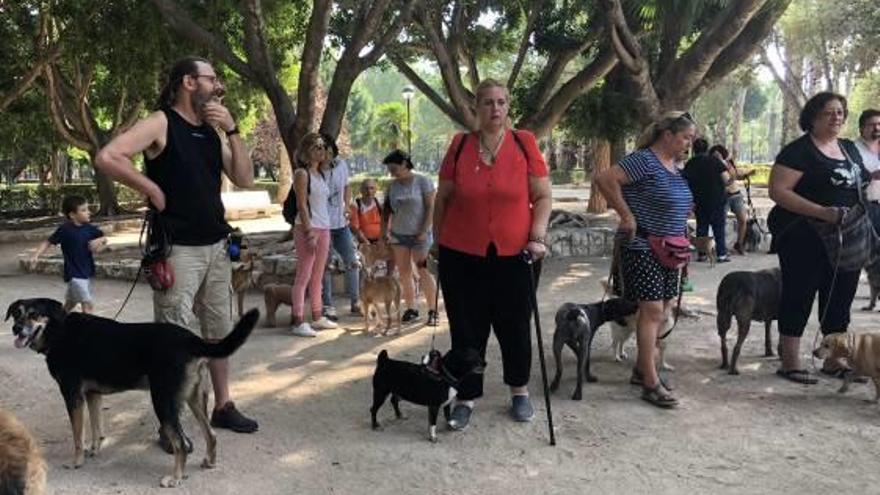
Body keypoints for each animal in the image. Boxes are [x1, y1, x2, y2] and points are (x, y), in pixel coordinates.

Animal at [6, 298, 258, 488]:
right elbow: (96, 427)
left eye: (33, 314)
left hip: (163, 401)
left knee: (180, 444)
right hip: (195, 399)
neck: (59, 331)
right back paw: (209, 462)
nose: (16, 328)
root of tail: (192, 339)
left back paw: (175, 478)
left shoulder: (72, 395)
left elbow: (78, 435)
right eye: (17, 314)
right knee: (211, 435)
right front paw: (94, 450)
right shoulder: (92, 395)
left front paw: (76, 461)